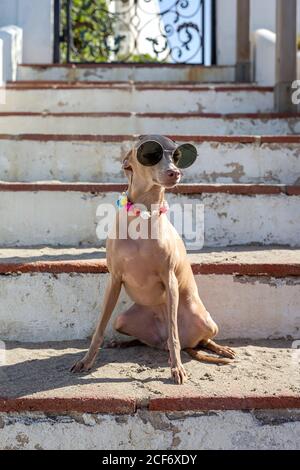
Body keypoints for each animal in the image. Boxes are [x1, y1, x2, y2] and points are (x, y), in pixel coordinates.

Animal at [71, 133, 236, 382]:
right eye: (150, 154)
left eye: (177, 156)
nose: (175, 173)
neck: (143, 216)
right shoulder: (114, 280)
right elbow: (99, 329)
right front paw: (86, 361)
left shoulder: (170, 280)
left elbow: (173, 335)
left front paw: (176, 367)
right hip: (123, 320)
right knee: (150, 341)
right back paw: (121, 343)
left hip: (205, 321)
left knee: (194, 340)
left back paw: (219, 349)